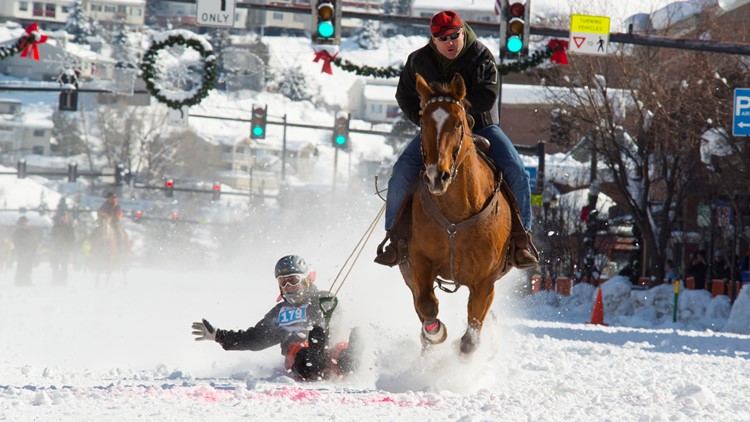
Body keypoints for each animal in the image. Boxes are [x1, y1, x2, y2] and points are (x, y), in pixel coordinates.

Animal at [400, 73, 516, 356]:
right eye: (422, 121)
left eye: (458, 123)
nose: (436, 176)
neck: (456, 213)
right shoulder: (419, 262)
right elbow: (427, 304)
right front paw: (435, 333)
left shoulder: (486, 281)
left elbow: (470, 340)